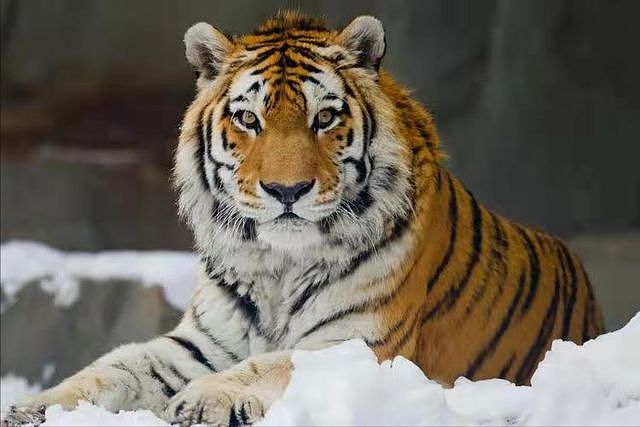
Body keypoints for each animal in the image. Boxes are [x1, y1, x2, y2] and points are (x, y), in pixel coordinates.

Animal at [5, 11, 604, 427]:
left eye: (325, 118)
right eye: (249, 119)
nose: (287, 190)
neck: (278, 264)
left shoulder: (361, 344)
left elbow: (273, 363)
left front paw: (202, 399)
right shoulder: (200, 343)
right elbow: (115, 365)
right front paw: (33, 407)